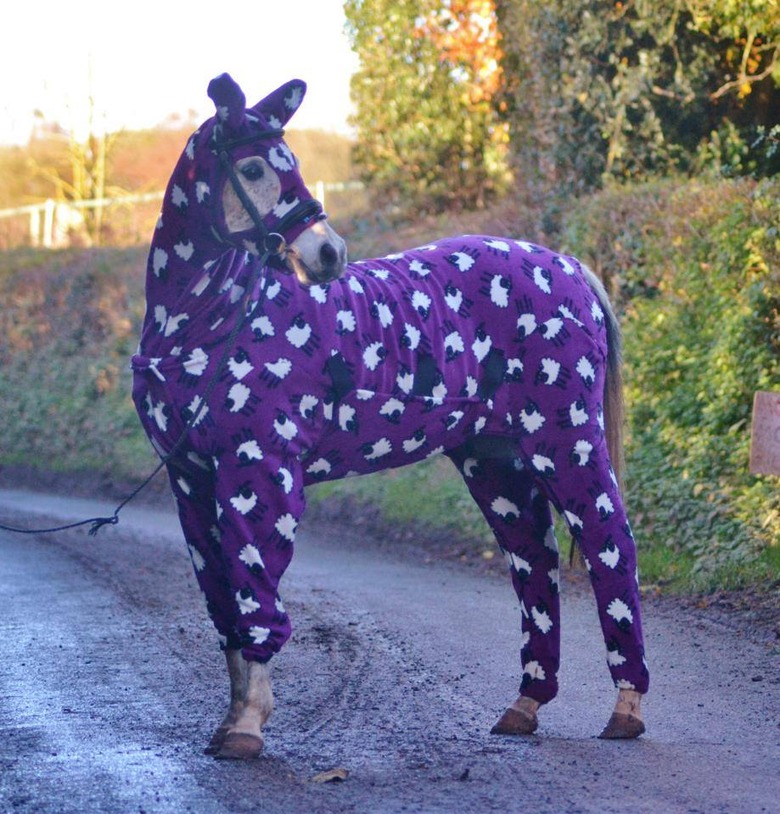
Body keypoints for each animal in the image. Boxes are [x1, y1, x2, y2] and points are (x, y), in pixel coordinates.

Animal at [133, 73, 644, 760]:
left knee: (610, 546)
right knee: (532, 561)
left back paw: (626, 709)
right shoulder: (191, 481)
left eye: (291, 162)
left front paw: (247, 727)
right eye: (253, 167)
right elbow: (226, 608)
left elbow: (256, 595)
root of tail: (568, 267)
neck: (212, 320)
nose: (329, 253)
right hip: (496, 464)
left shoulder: (258, 472)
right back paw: (525, 706)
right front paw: (232, 720)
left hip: (567, 443)